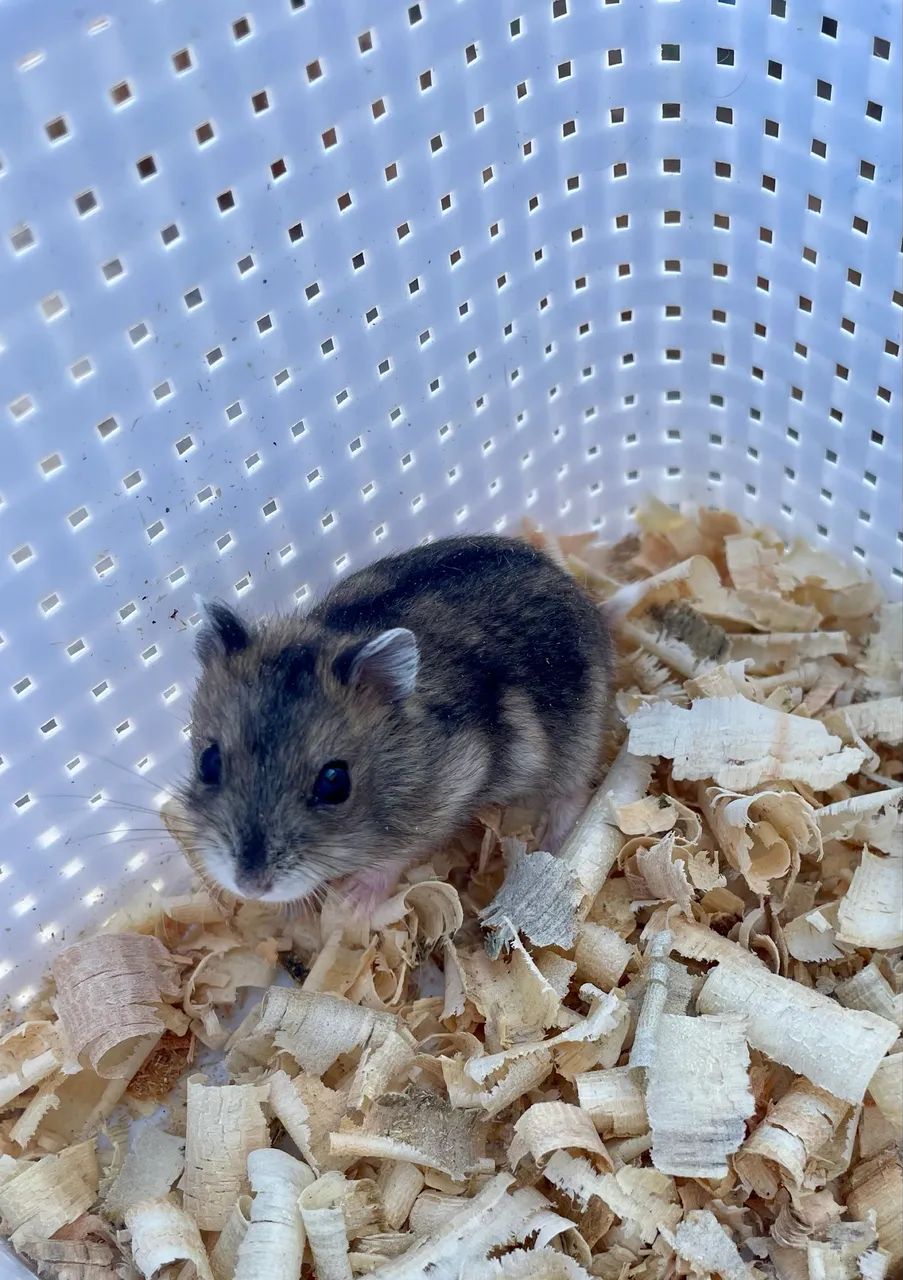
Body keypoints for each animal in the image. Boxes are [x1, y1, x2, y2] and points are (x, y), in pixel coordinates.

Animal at [182, 535, 614, 907]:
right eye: (208, 762)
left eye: (335, 783)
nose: (250, 888)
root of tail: (572, 587)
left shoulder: (452, 789)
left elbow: (398, 852)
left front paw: (352, 904)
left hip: (579, 739)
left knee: (573, 793)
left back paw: (550, 843)